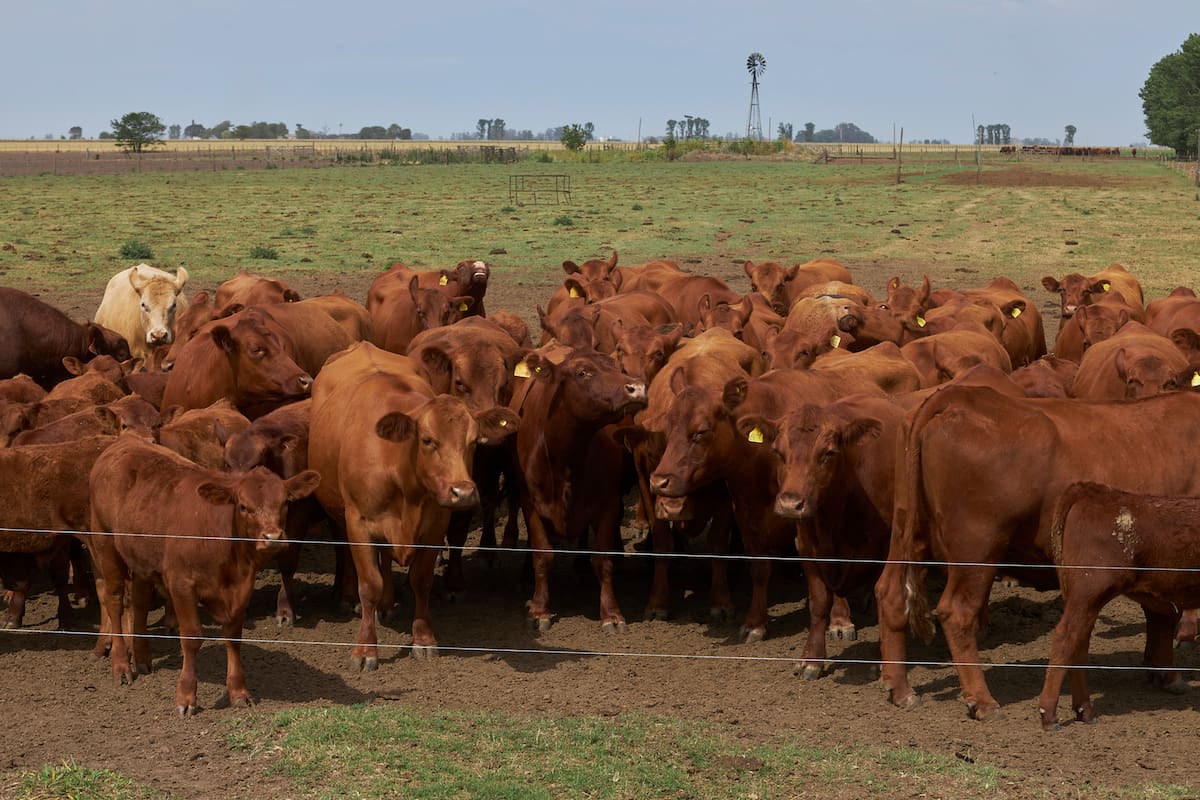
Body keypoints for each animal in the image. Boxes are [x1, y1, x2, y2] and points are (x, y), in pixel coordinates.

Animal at [88, 434, 319, 715]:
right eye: (243, 506)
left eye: (285, 502)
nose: (273, 537)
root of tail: (125, 441)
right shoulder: (181, 584)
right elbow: (191, 637)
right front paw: (186, 697)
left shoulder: (242, 587)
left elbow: (233, 637)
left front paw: (239, 692)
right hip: (105, 541)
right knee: (114, 599)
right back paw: (121, 666)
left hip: (140, 554)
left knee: (140, 602)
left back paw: (142, 658)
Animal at [308, 342, 518, 669]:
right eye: (428, 440)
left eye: (472, 442)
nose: (463, 492)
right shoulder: (359, 523)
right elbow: (369, 585)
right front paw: (365, 649)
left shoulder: (434, 526)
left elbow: (421, 580)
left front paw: (423, 638)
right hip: (338, 513)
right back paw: (349, 598)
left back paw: (388, 603)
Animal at [1038, 482, 1200, 730]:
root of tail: (1092, 492)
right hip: (1088, 593)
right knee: (1065, 639)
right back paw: (1049, 714)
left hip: (1086, 602)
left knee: (1079, 643)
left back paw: (1084, 710)